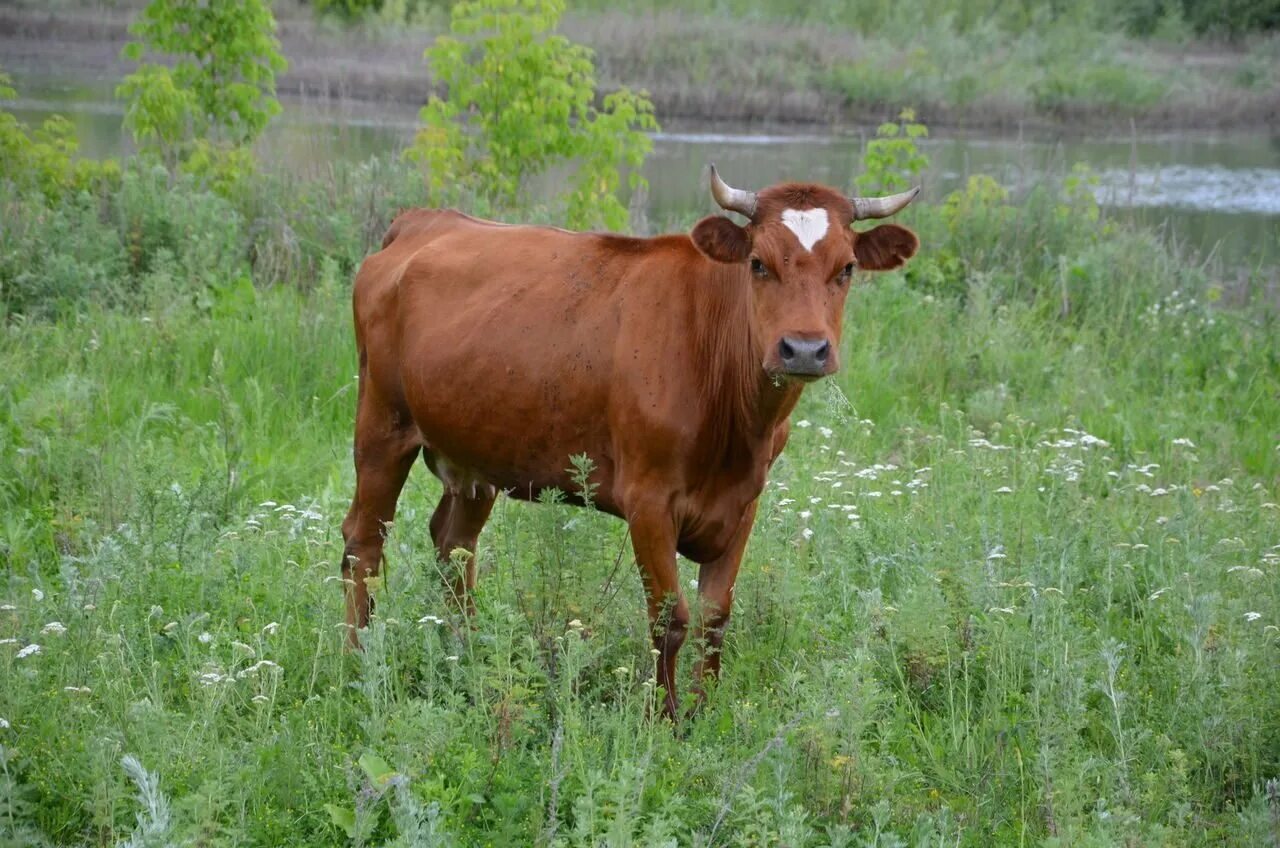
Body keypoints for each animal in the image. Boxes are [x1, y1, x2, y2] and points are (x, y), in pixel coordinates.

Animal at [340, 167, 921, 722]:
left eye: (847, 268)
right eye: (758, 263)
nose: (803, 349)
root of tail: (424, 220)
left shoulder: (744, 500)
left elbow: (715, 616)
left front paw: (704, 712)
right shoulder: (648, 498)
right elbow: (670, 616)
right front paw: (663, 719)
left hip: (476, 452)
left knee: (454, 547)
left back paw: (468, 655)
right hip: (382, 425)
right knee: (362, 546)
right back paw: (358, 662)